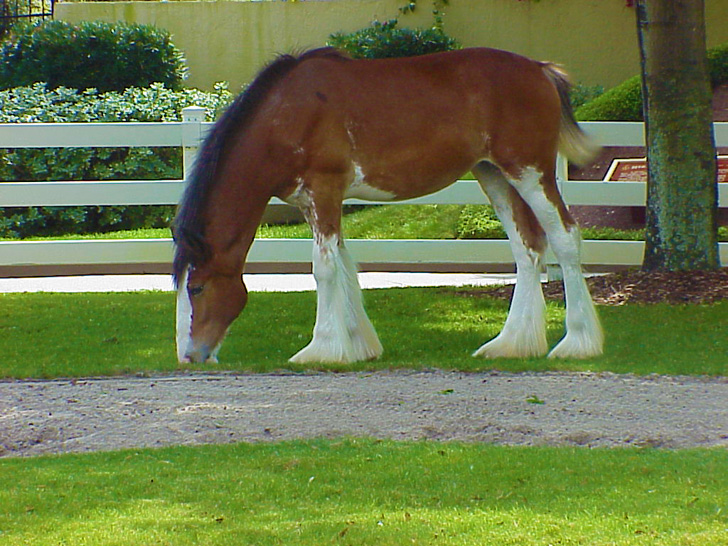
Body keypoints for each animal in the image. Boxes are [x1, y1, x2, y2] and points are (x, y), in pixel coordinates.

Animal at [175, 46, 604, 362]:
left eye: (196, 287)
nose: (189, 355)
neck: (288, 115)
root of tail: (540, 70)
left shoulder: (323, 190)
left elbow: (324, 269)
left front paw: (322, 349)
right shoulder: (316, 201)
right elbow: (344, 264)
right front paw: (356, 345)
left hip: (529, 171)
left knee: (565, 238)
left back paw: (577, 343)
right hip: (494, 174)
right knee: (527, 248)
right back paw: (511, 343)